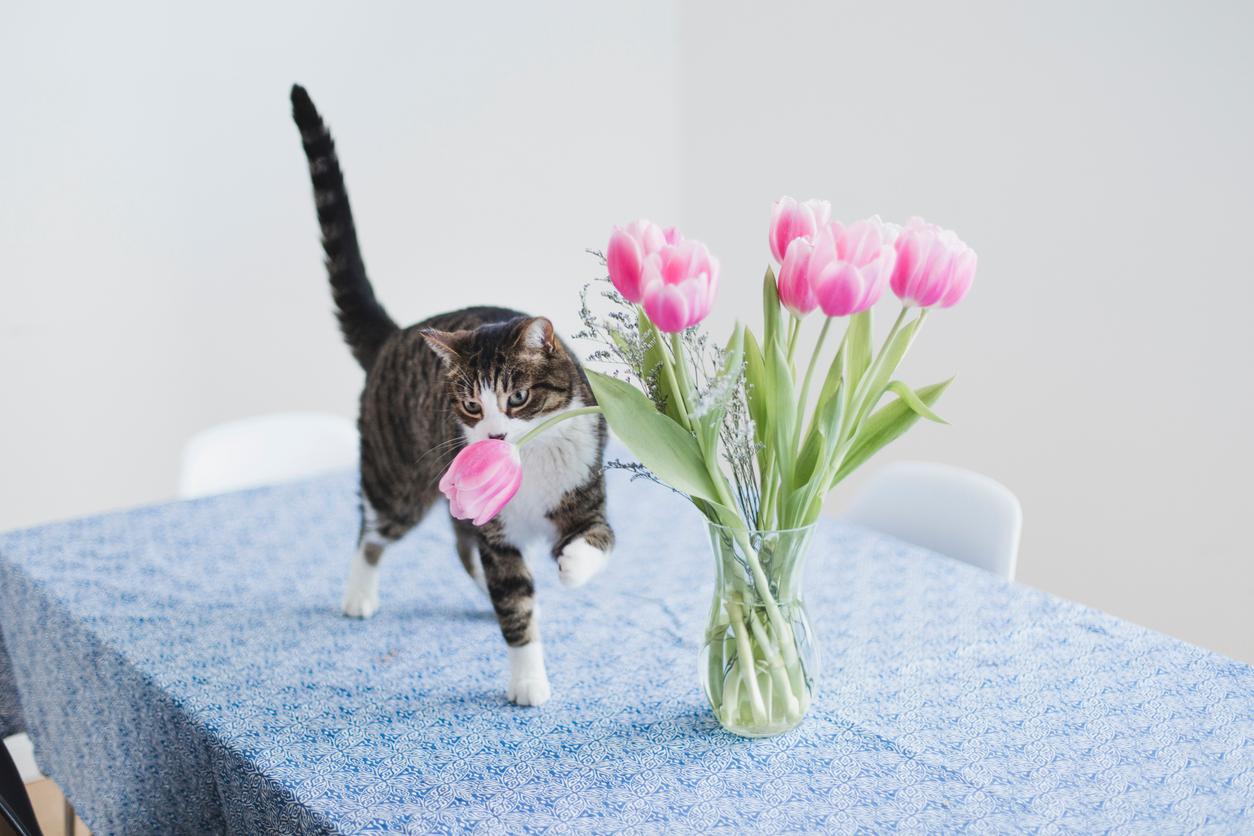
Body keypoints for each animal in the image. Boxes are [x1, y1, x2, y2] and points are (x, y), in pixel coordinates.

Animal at [288, 85, 611, 706]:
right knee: (373, 531)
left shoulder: (585, 490)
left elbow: (597, 539)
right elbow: (515, 605)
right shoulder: (499, 535)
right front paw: (527, 680)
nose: (493, 434)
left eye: (518, 398)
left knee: (461, 544)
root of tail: (395, 335)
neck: (529, 468)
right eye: (470, 405)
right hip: (397, 482)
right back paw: (359, 594)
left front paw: (571, 567)